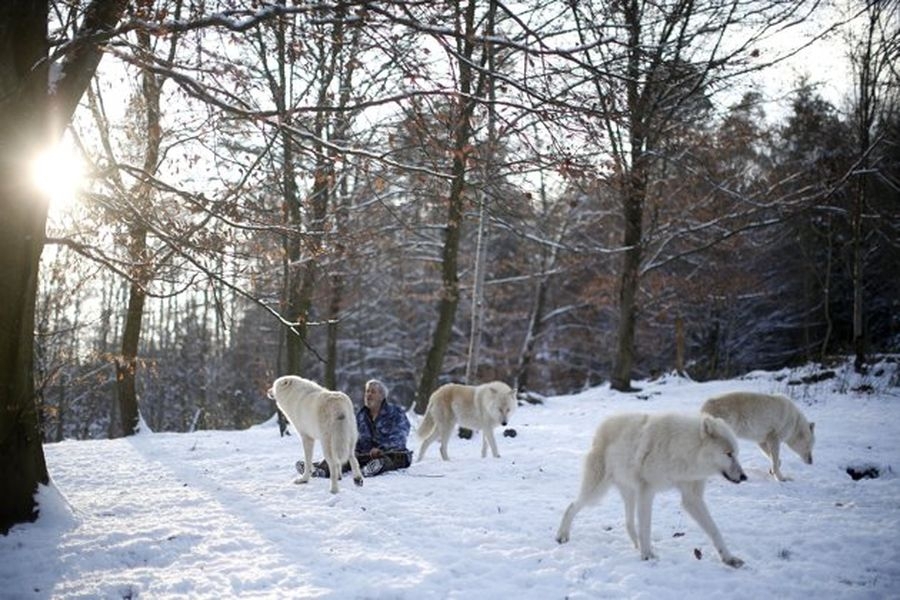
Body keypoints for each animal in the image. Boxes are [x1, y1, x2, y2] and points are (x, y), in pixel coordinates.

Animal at [556, 412, 744, 568]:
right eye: (728, 454)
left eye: (736, 453)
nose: (744, 477)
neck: (683, 451)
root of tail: (602, 426)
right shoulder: (647, 491)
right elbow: (646, 527)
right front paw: (647, 555)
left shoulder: (691, 498)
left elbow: (714, 530)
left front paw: (729, 558)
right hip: (597, 493)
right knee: (571, 506)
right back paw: (562, 536)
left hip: (629, 494)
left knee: (629, 522)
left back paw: (636, 545)